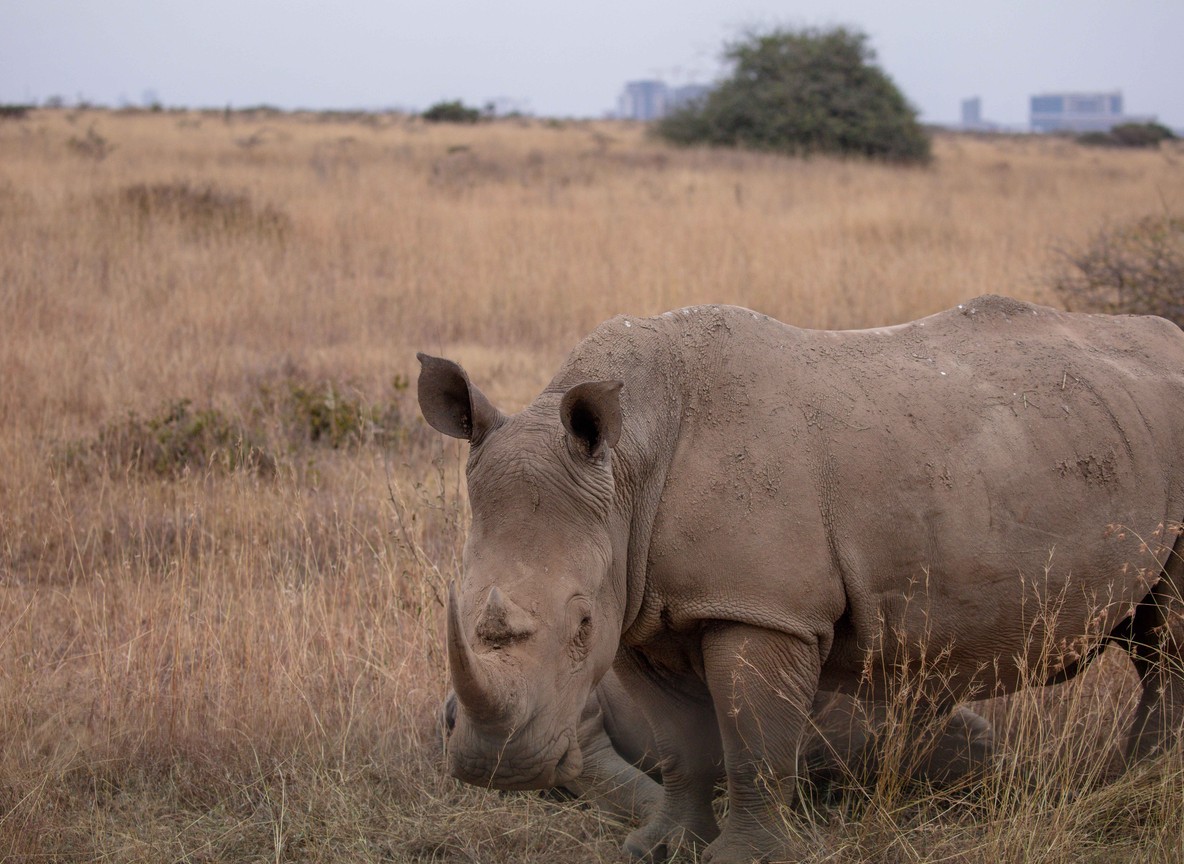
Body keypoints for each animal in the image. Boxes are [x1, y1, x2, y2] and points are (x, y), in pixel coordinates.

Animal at [418, 297, 1184, 863]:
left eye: (578, 624)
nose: (497, 768)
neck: (630, 461)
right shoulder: (636, 606)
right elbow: (683, 745)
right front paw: (659, 849)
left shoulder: (762, 607)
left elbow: (752, 743)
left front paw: (743, 859)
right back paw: (1129, 788)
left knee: (1166, 643)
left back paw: (1136, 791)